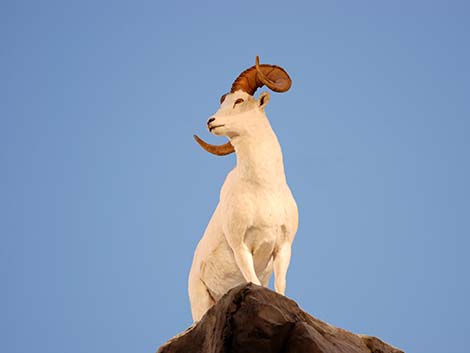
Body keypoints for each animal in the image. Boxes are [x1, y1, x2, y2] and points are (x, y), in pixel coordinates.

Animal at [188, 55, 296, 322]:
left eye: (239, 101)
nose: (211, 122)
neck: (264, 190)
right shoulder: (241, 247)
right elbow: (253, 281)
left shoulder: (283, 248)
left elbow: (280, 287)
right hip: (200, 303)